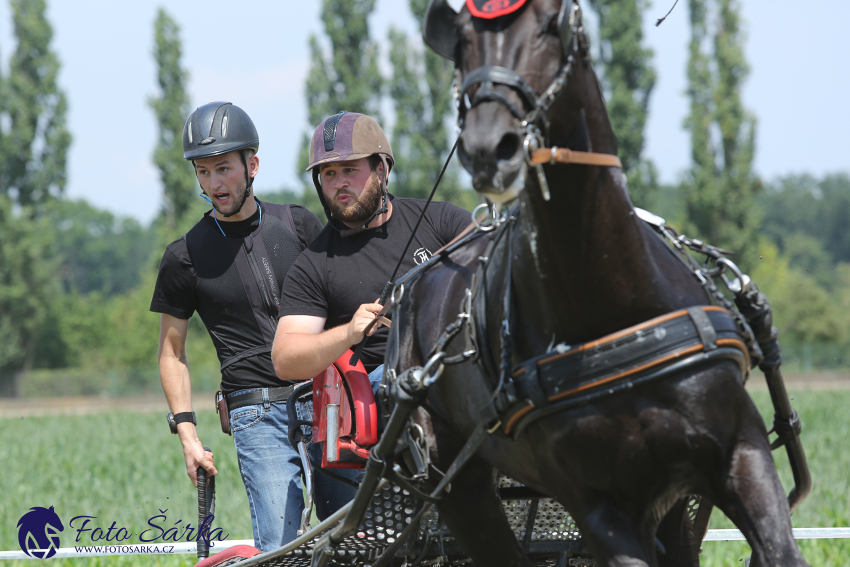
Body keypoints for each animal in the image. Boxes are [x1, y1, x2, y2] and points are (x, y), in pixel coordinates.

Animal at [386, 1, 808, 567]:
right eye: (462, 42)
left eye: (553, 24)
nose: (489, 146)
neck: (612, 309)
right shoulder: (596, 506)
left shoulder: (739, 453)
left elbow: (780, 548)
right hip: (459, 489)